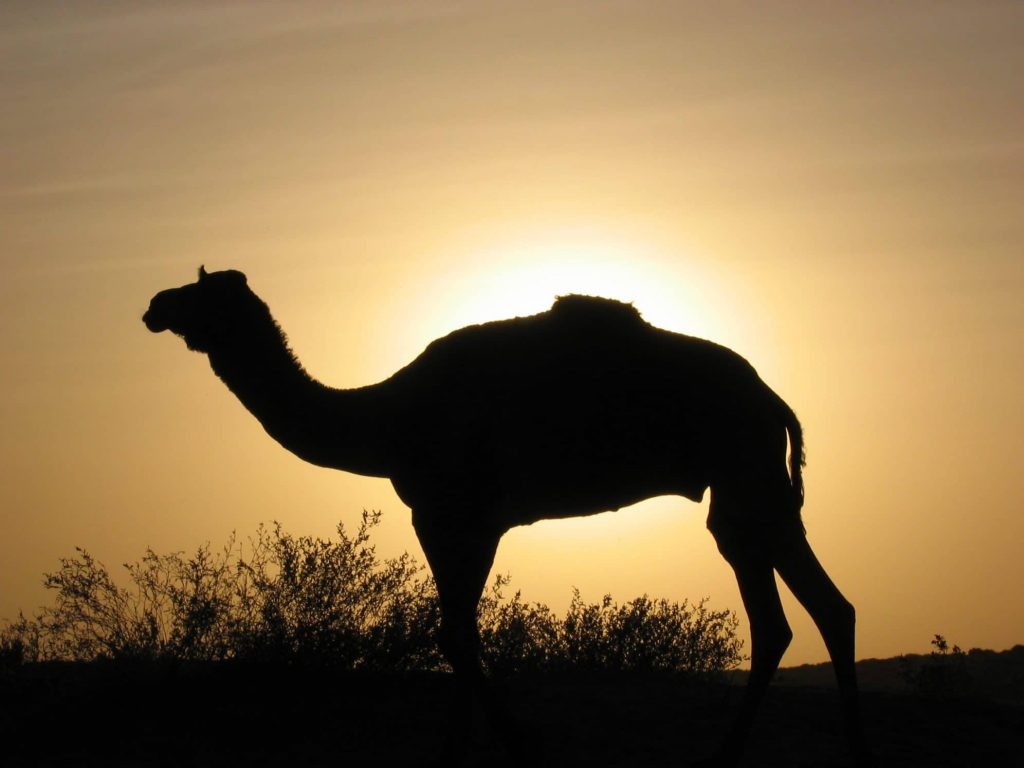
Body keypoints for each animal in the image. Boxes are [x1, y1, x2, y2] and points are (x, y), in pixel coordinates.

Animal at [143, 266, 875, 766]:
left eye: (202, 294)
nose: (155, 305)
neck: (387, 418)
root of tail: (774, 399)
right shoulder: (452, 519)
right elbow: (457, 631)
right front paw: (457, 752)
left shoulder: (459, 515)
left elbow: (455, 636)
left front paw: (519, 747)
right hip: (747, 490)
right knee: (802, 612)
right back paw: (805, 750)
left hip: (745, 471)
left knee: (798, 610)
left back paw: (757, 754)